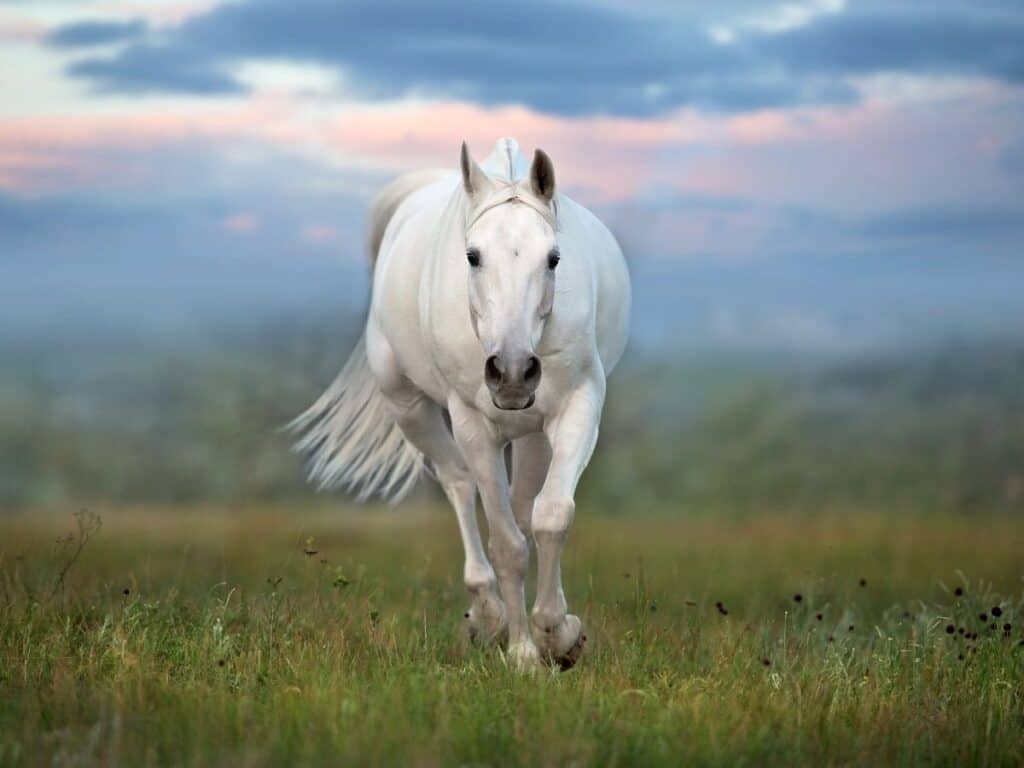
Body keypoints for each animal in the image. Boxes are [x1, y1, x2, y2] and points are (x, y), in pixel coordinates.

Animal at [296, 138, 626, 671]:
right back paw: (488, 616)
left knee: (524, 505)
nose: (512, 371)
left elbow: (552, 517)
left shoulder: (579, 407)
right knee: (459, 485)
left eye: (554, 258)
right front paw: (523, 653)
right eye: (472, 256)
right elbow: (507, 544)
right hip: (409, 408)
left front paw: (560, 634)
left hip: (531, 432)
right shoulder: (474, 425)